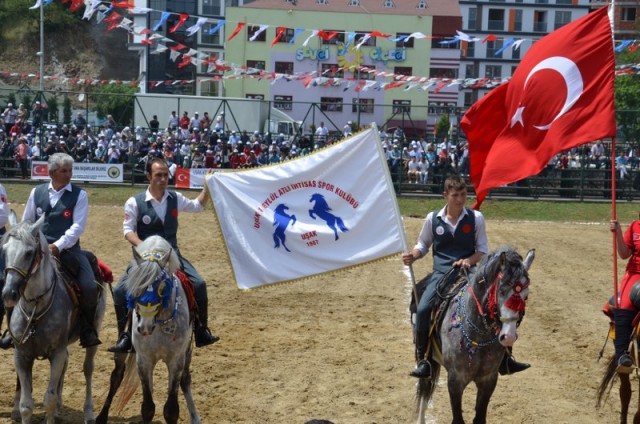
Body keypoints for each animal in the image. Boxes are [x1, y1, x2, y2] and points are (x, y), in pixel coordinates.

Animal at [0, 215, 105, 424]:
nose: (8, 294)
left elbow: (48, 398)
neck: (35, 309)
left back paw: (89, 413)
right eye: (5, 249)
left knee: (88, 369)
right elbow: (26, 405)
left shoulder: (56, 353)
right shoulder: (21, 355)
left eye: (29, 253)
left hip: (94, 333)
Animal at [98, 235, 200, 424]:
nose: (144, 327)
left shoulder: (176, 359)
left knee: (185, 379)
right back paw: (101, 416)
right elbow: (147, 407)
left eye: (162, 287)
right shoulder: (143, 360)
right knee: (116, 376)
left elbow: (171, 409)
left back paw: (195, 417)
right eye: (136, 286)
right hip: (122, 352)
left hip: (187, 353)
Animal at [416, 247, 536, 424]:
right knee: (425, 386)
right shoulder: (455, 379)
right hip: (428, 359)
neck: (479, 336)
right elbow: (457, 419)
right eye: (501, 291)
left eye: (526, 296)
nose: (509, 336)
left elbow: (479, 417)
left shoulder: (488, 379)